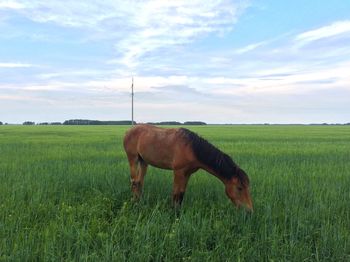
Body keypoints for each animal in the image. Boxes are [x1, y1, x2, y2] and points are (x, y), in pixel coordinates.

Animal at [122, 124, 252, 211]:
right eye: (240, 188)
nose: (249, 211)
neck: (191, 148)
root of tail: (128, 131)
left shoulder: (187, 173)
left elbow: (181, 194)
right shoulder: (178, 172)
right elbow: (176, 194)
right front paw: (174, 212)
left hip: (143, 161)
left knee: (139, 182)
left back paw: (139, 201)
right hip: (133, 159)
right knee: (134, 181)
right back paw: (134, 203)